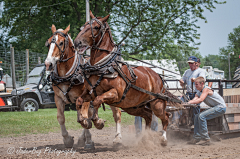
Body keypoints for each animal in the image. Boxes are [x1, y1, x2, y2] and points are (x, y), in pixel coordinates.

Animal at [74, 11, 181, 146]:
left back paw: (163, 139)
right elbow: (79, 100)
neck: (103, 67)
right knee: (148, 116)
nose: (77, 42)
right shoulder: (90, 92)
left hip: (157, 104)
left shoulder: (115, 93)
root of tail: (158, 77)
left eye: (96, 27)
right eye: (84, 25)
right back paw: (145, 139)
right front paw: (84, 121)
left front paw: (98, 122)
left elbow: (98, 100)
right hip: (133, 107)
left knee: (166, 117)